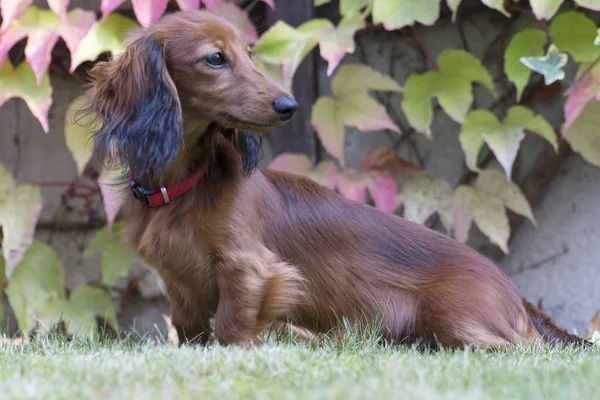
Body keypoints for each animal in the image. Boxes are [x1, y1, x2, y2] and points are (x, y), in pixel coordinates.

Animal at [84, 8, 584, 346]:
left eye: (249, 55)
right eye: (215, 59)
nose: (288, 106)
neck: (185, 187)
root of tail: (514, 292)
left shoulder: (251, 269)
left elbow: (230, 326)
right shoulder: (180, 286)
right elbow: (190, 332)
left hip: (456, 319)